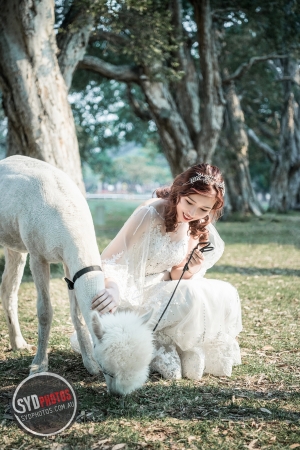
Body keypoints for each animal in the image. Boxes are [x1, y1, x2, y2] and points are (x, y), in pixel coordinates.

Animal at [0, 156, 154, 396]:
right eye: (108, 370)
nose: (118, 395)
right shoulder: (37, 254)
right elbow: (44, 311)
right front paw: (38, 366)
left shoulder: (68, 263)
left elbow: (77, 314)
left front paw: (89, 363)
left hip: (14, 242)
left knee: (8, 288)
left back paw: (18, 343)